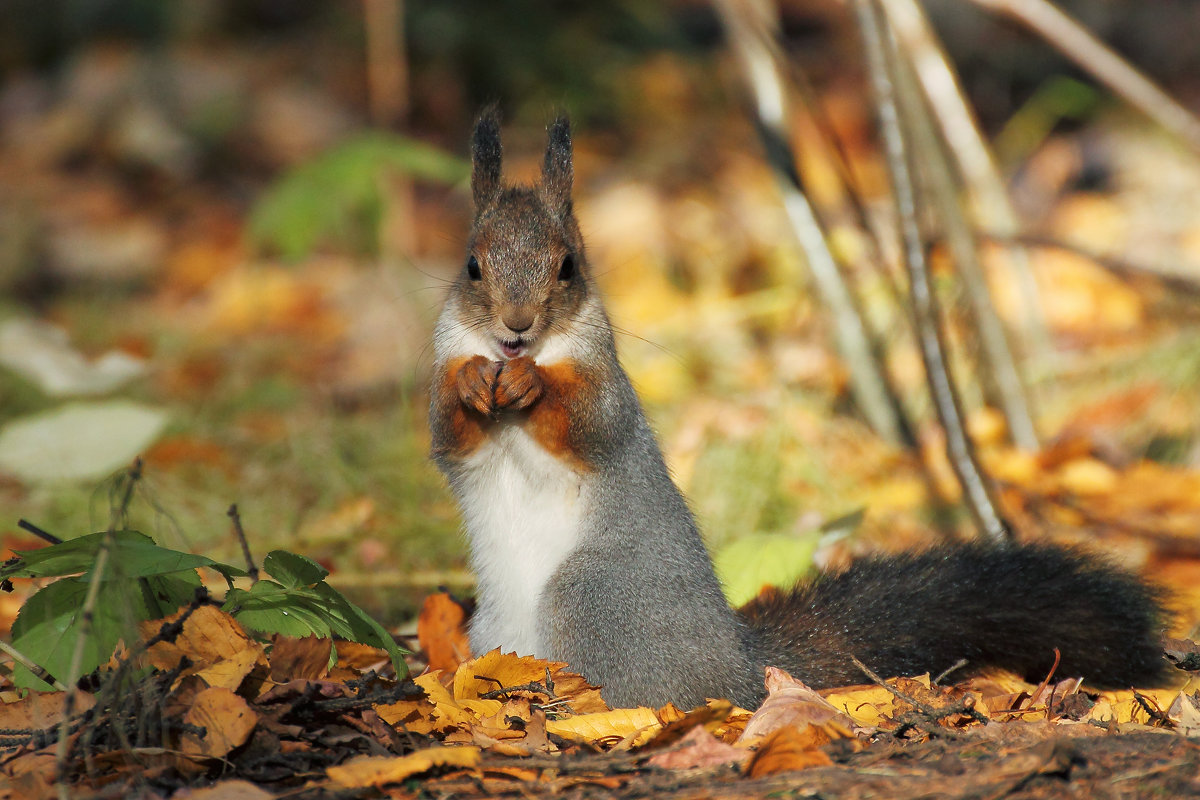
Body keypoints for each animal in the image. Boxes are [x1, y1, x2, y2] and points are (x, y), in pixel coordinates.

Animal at [427, 107, 1166, 714]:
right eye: (471, 265)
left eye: (568, 267)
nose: (516, 326)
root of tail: (737, 668)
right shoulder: (449, 388)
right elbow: (447, 430)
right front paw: (473, 382)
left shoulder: (606, 391)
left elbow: (586, 422)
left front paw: (533, 385)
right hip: (491, 628)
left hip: (590, 597)